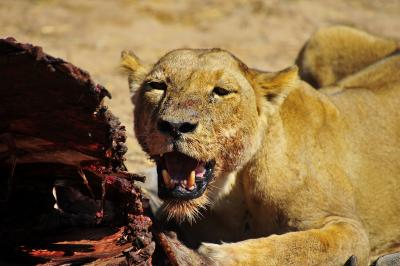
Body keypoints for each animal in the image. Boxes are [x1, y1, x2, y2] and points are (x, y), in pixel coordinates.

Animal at [121, 26, 400, 264]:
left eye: (221, 91)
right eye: (157, 86)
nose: (175, 125)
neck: (233, 190)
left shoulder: (351, 230)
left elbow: (300, 247)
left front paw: (219, 256)